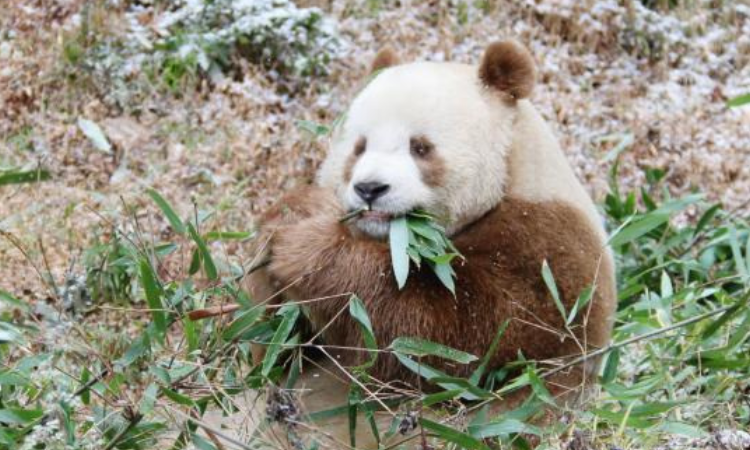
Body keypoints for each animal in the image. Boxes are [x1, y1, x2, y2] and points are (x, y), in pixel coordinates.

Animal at [244, 40, 620, 448]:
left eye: (420, 147)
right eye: (359, 147)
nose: (370, 188)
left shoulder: (548, 254)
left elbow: (445, 342)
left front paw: (308, 248)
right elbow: (269, 348)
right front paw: (294, 215)